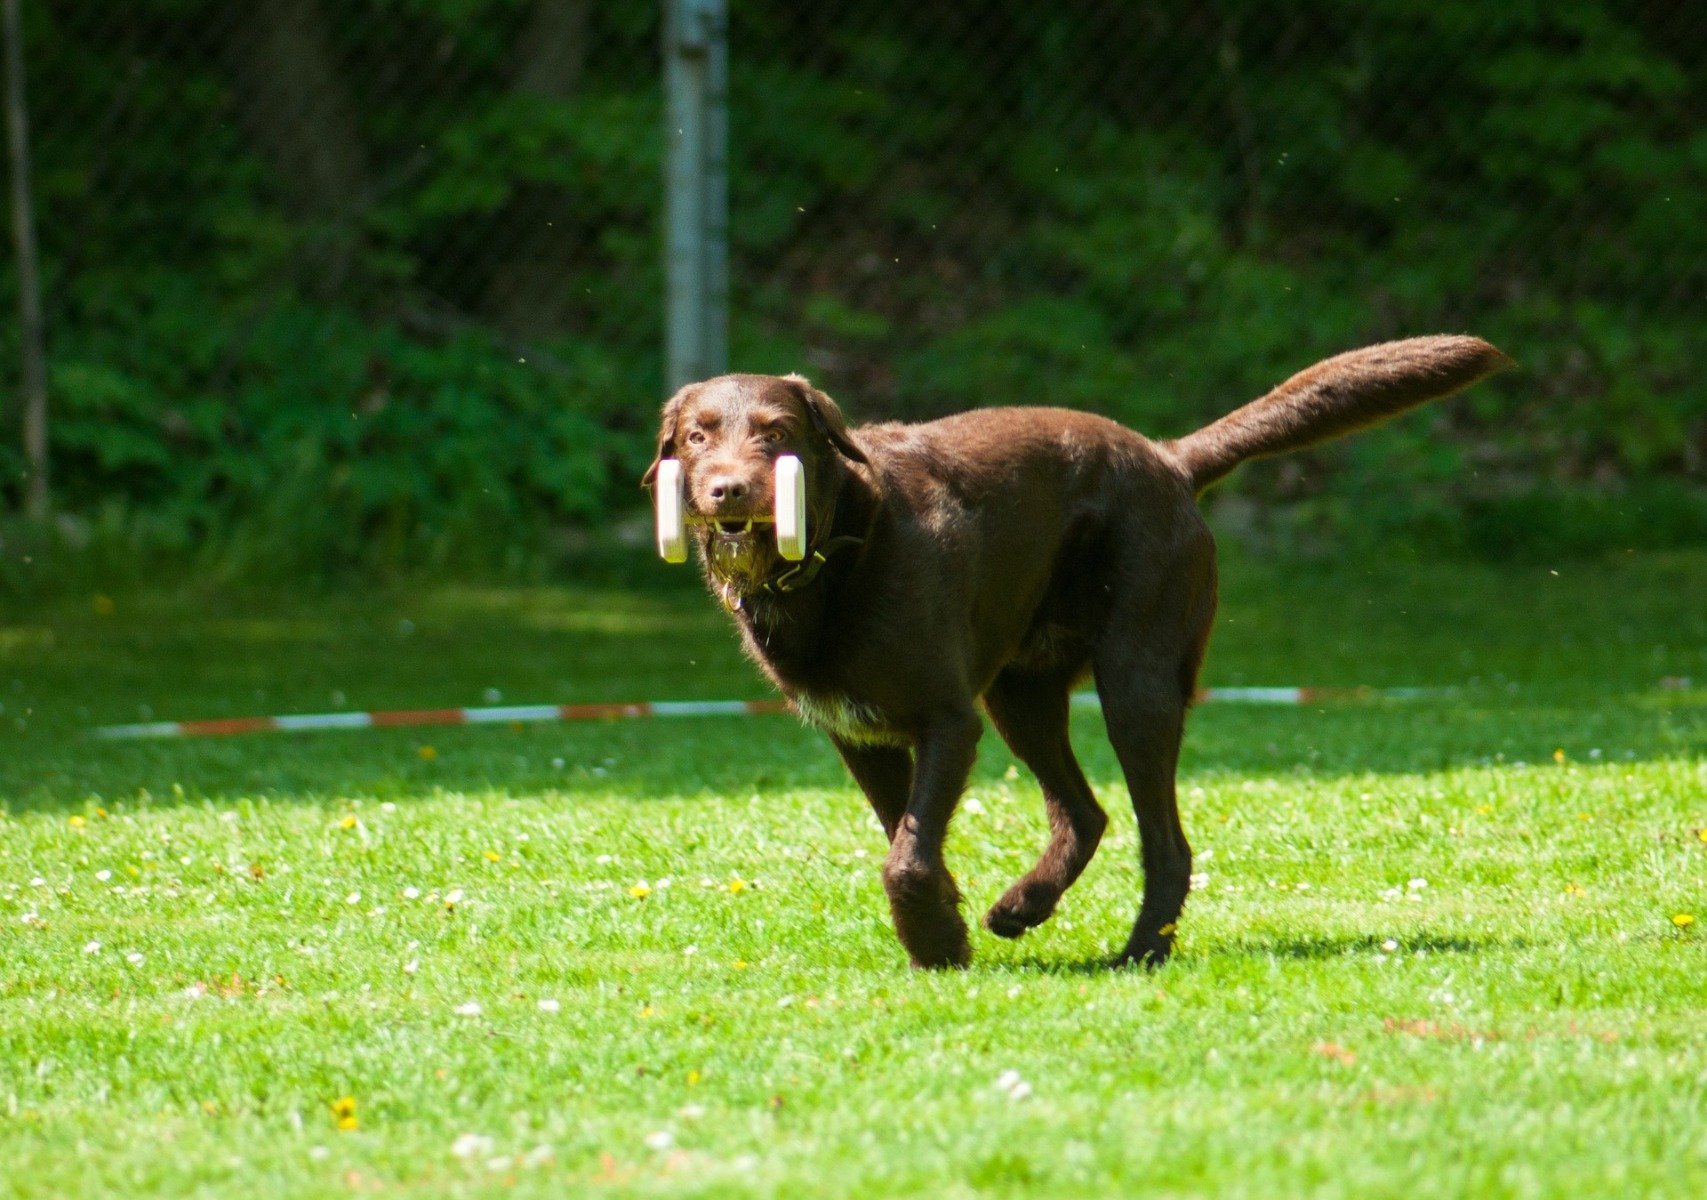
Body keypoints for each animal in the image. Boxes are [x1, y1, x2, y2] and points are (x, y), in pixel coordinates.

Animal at [641, 336, 1508, 969]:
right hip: (1021, 694)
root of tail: (1169, 458)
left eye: (777, 434)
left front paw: (935, 942)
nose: (727, 491)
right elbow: (909, 841)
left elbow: (906, 857)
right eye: (696, 436)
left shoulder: (947, 720)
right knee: (1085, 813)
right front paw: (948, 929)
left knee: (1165, 843)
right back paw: (1024, 906)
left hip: (1135, 683)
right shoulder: (861, 736)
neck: (840, 549)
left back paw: (1139, 951)